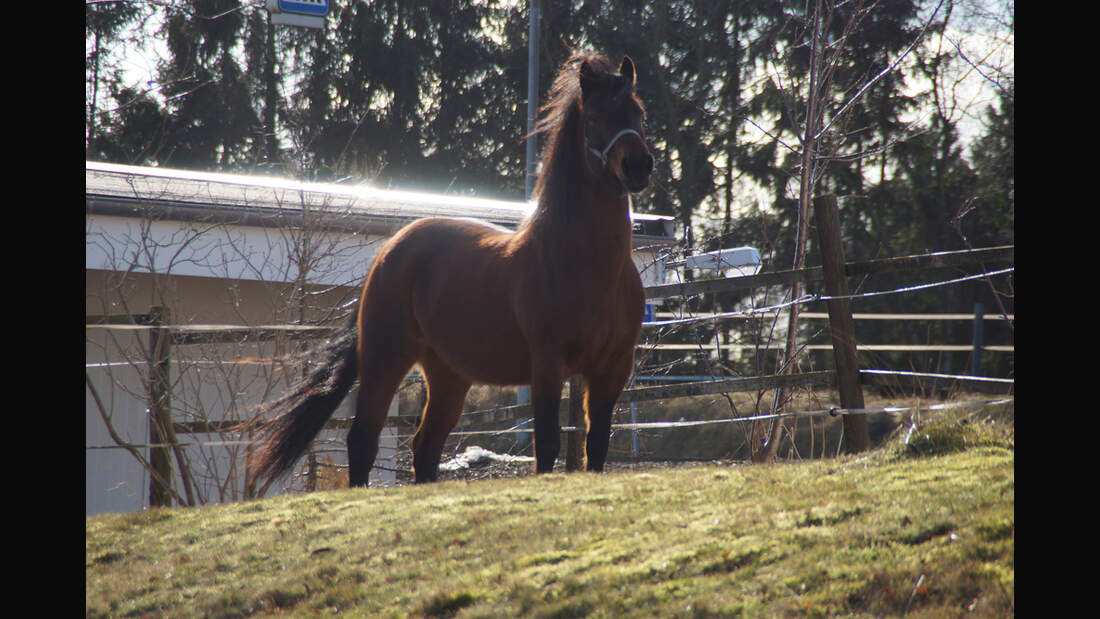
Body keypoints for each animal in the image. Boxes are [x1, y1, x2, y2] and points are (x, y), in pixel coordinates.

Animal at [249, 50, 651, 492]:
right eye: (595, 117)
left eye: (639, 112)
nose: (639, 166)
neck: (587, 266)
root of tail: (391, 250)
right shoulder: (547, 366)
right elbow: (546, 447)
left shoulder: (612, 369)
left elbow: (596, 447)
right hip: (385, 358)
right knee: (363, 439)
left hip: (447, 374)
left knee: (425, 447)